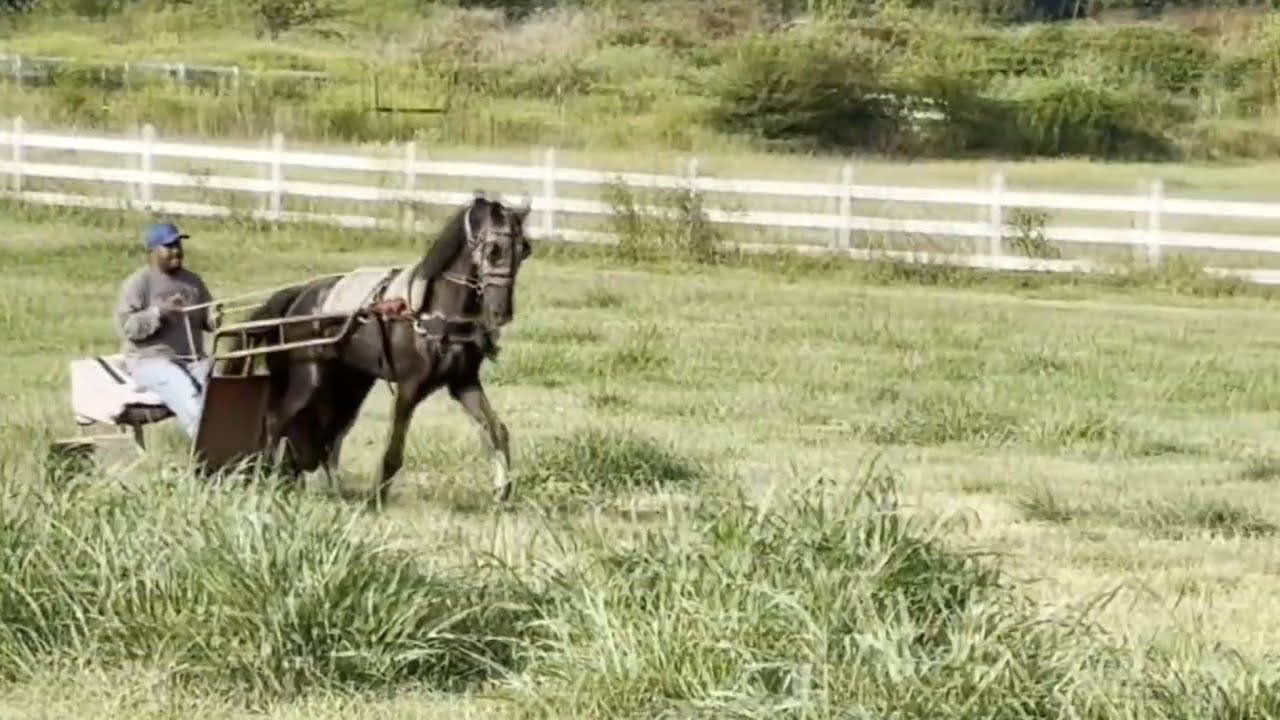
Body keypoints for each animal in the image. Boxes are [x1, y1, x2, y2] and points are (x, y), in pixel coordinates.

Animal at [225, 193, 534, 507]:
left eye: (524, 250)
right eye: (494, 249)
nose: (501, 312)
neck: (432, 313)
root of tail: (299, 297)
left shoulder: (463, 383)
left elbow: (496, 431)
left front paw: (502, 490)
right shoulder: (409, 387)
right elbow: (393, 450)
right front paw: (377, 498)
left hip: (350, 383)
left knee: (329, 435)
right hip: (309, 380)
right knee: (278, 421)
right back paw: (264, 476)